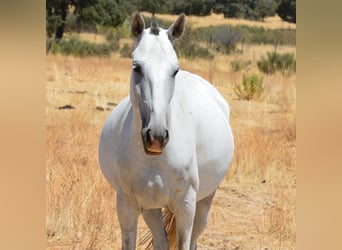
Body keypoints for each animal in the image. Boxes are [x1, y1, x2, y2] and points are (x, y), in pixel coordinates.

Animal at [97, 13, 234, 250]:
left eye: (174, 70)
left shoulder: (186, 206)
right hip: (151, 208)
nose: (156, 137)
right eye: (136, 67)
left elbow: (184, 243)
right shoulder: (127, 206)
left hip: (204, 203)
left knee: (194, 239)